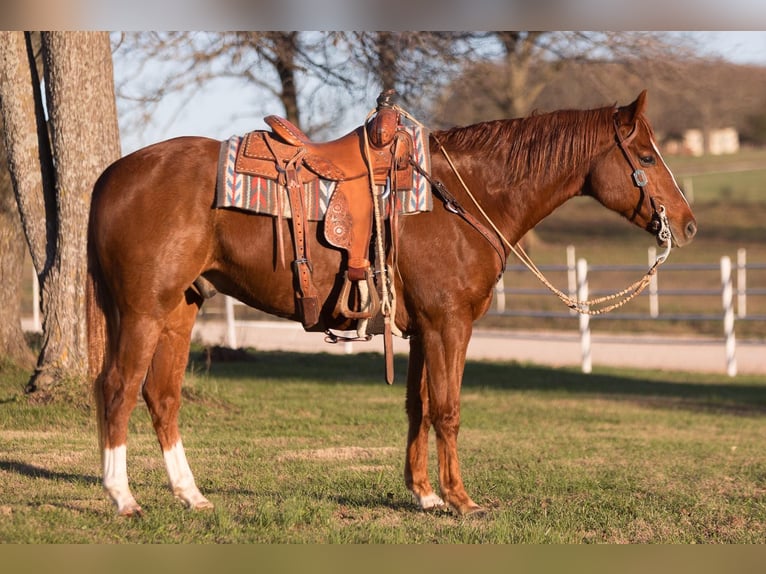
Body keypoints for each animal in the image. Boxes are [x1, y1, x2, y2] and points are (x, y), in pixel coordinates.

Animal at [87, 90, 697, 517]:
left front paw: (424, 495)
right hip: (142, 310)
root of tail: (112, 174)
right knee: (117, 388)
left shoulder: (425, 328)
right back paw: (123, 498)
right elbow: (448, 409)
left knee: (162, 396)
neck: (459, 198)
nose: (688, 226)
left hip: (179, 311)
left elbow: (417, 406)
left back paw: (191, 496)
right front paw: (461, 500)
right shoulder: (450, 324)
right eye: (647, 156)